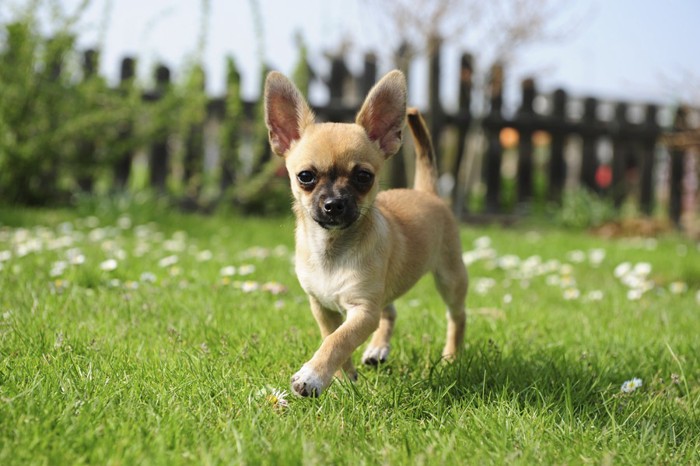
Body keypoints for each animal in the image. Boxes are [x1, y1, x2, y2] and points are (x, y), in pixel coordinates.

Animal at [266, 69, 468, 396]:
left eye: (363, 177)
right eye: (305, 177)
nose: (334, 204)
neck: (331, 250)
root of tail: (427, 192)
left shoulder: (363, 311)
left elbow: (338, 340)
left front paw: (312, 376)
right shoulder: (321, 307)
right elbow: (331, 335)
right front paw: (341, 376)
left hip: (450, 277)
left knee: (457, 316)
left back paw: (451, 356)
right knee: (391, 310)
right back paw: (377, 349)